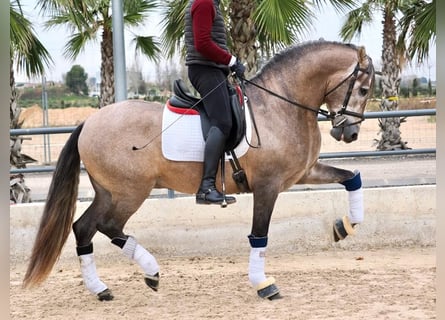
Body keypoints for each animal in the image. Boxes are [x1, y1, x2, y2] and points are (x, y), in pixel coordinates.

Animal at [22, 40, 372, 300]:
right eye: (365, 90)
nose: (350, 133)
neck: (280, 106)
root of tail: (89, 122)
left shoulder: (303, 174)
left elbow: (353, 178)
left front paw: (344, 227)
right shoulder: (268, 186)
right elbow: (259, 235)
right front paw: (264, 285)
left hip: (108, 191)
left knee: (84, 228)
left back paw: (101, 289)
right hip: (131, 191)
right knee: (108, 226)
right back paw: (151, 271)